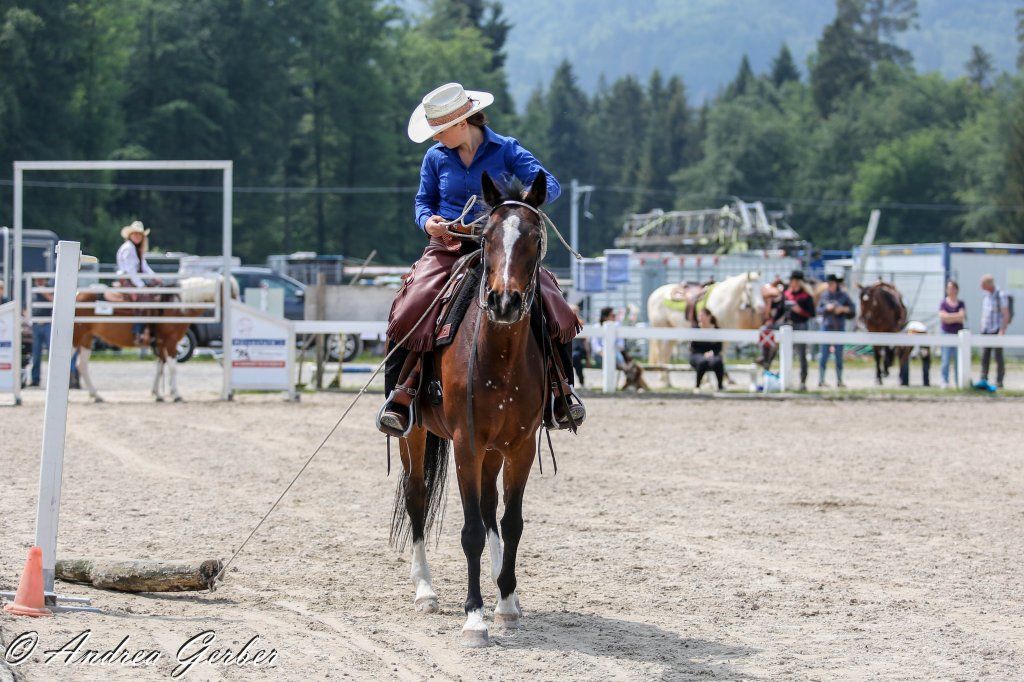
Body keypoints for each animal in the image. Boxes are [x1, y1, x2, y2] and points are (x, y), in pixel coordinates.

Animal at [72, 276, 228, 402]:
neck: (175, 306)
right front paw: (176, 395)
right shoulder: (171, 341)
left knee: (82, 366)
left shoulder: (161, 343)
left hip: (87, 339)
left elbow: (160, 367)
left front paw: (158, 394)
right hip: (76, 337)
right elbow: (172, 367)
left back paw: (96, 396)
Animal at [390, 171, 556, 648]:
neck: (499, 355)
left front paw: (506, 604)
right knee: (417, 495)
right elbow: (470, 533)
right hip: (415, 435)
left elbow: (510, 521)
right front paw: (474, 617)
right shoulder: (466, 444)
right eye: (487, 237)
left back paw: (505, 592)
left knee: (488, 505)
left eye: (534, 237)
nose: (505, 301)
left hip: (493, 451)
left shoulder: (519, 447)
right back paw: (425, 590)